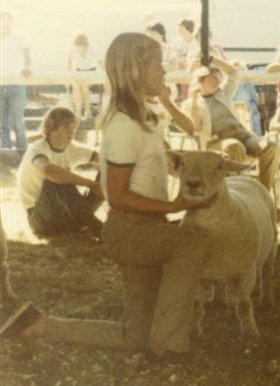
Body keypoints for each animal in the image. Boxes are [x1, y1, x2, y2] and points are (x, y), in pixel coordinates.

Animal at [177, 151, 278, 338]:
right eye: (181, 163)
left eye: (219, 166)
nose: (193, 183)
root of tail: (242, 177)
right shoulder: (196, 272)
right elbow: (196, 304)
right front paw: (193, 331)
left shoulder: (247, 272)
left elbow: (244, 305)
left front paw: (251, 333)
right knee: (225, 285)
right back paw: (223, 299)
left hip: (271, 247)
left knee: (267, 275)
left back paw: (267, 301)